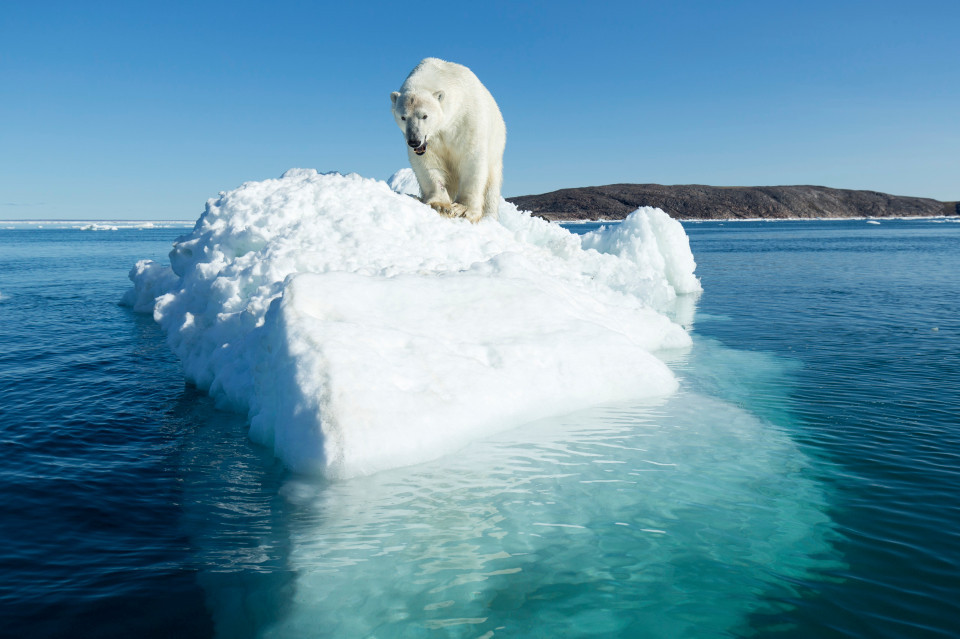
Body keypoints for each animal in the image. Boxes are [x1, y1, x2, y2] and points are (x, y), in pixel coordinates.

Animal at [392, 58, 506, 222]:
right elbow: (428, 163)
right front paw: (441, 205)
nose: (414, 141)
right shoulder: (431, 141)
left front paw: (464, 209)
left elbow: (472, 160)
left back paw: (490, 217)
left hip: (496, 147)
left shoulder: (468, 120)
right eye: (403, 117)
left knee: (492, 185)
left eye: (424, 115)